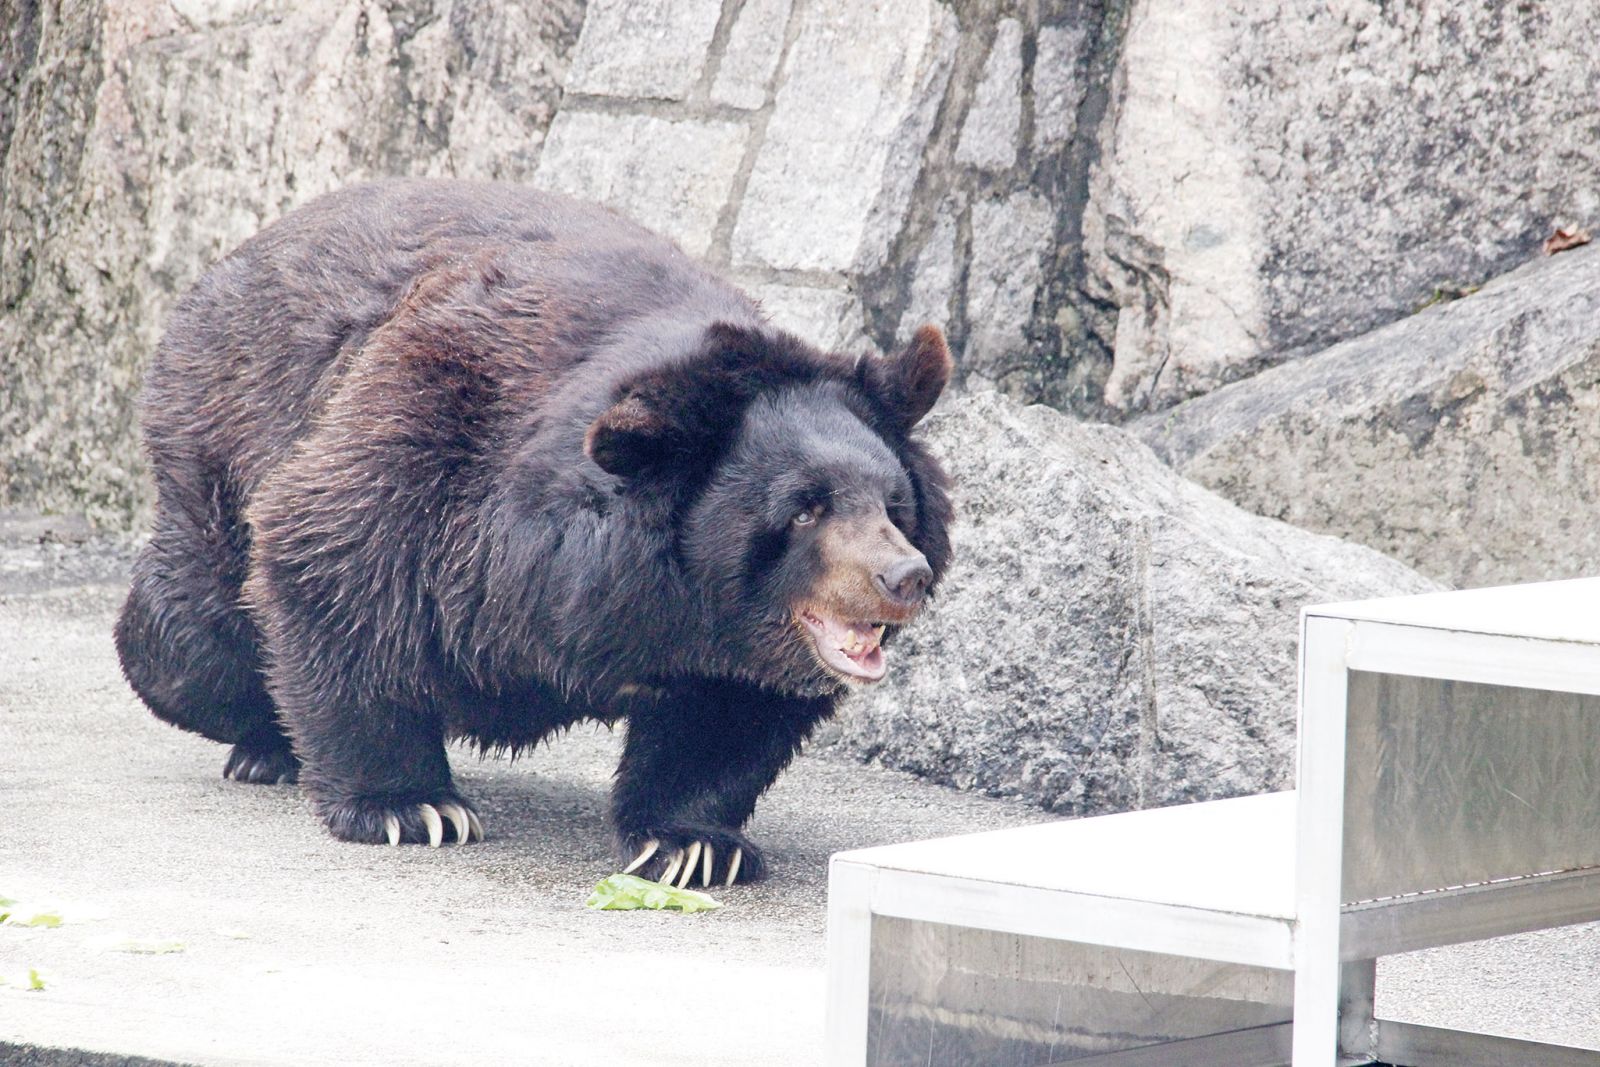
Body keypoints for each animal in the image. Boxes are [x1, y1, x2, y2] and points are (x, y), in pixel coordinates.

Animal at [124, 179, 953, 889]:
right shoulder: (436, 432)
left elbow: (725, 716)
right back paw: (263, 740)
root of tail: (227, 264)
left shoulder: (725, 645)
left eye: (894, 503)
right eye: (805, 509)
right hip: (225, 437)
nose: (904, 576)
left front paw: (694, 844)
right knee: (188, 644)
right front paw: (409, 805)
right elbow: (334, 555)